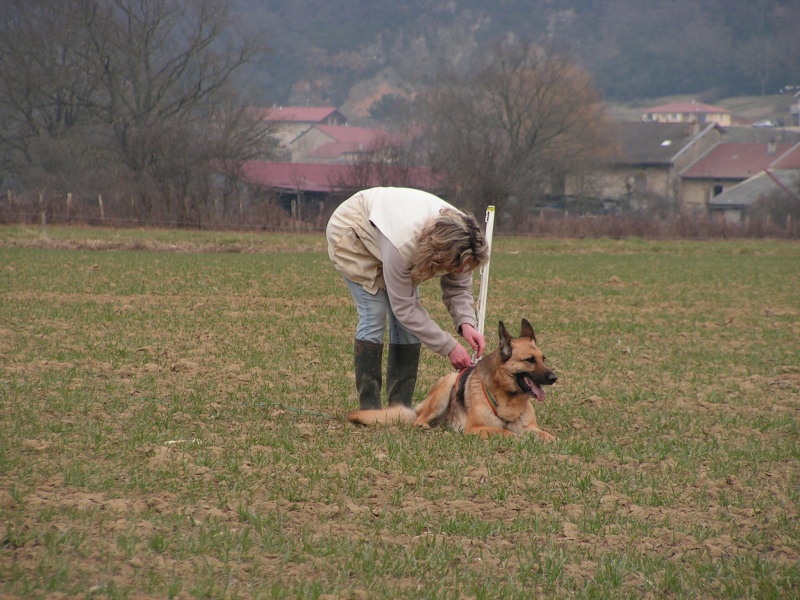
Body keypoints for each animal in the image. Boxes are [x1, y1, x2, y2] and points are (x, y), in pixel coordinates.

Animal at [346, 318, 560, 440]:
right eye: (529, 360)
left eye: (543, 359)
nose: (554, 378)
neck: (508, 398)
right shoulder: (475, 428)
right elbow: (505, 432)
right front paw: (518, 439)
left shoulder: (530, 427)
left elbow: (547, 436)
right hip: (447, 384)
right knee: (420, 420)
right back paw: (424, 426)